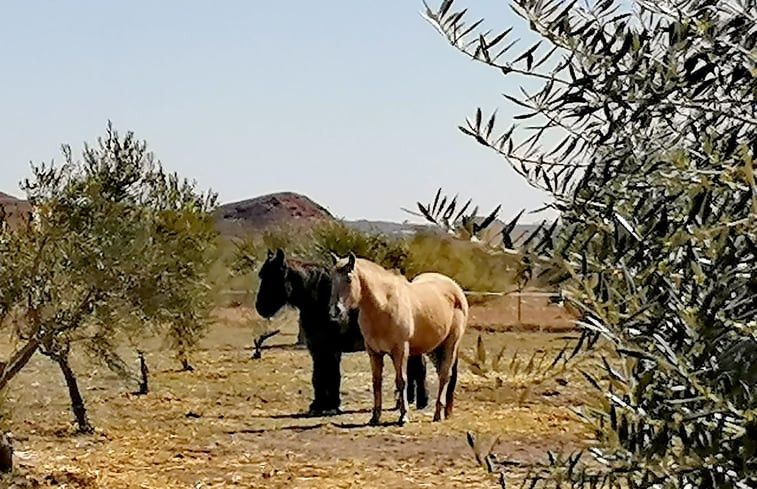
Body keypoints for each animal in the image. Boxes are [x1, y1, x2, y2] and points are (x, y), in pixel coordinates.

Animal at [256, 250, 428, 414]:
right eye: (262, 276)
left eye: (273, 277)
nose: (260, 307)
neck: (320, 303)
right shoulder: (317, 349)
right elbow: (318, 376)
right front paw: (319, 405)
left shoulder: (331, 350)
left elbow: (332, 376)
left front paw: (331, 405)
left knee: (418, 368)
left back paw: (420, 401)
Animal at [330, 252, 466, 424]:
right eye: (333, 280)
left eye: (348, 279)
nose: (335, 311)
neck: (383, 306)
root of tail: (455, 288)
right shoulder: (374, 352)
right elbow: (376, 382)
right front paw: (375, 417)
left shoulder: (400, 351)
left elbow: (401, 381)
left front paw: (403, 416)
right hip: (434, 348)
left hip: (450, 345)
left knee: (444, 376)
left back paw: (437, 414)